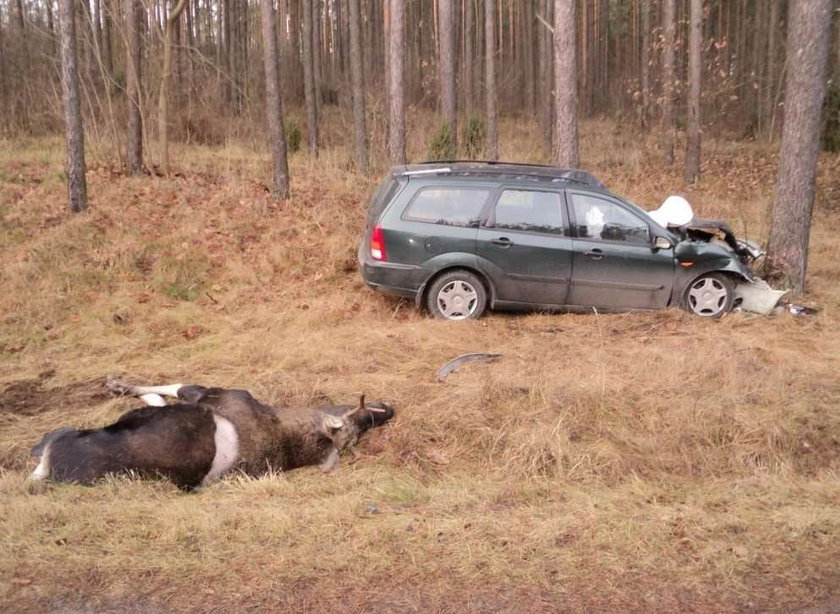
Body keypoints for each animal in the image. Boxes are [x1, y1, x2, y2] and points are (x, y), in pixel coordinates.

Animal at [27, 378, 394, 494]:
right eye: (362, 417)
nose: (391, 409)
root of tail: (53, 467)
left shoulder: (206, 394)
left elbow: (166, 391)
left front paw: (118, 384)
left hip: (63, 441)